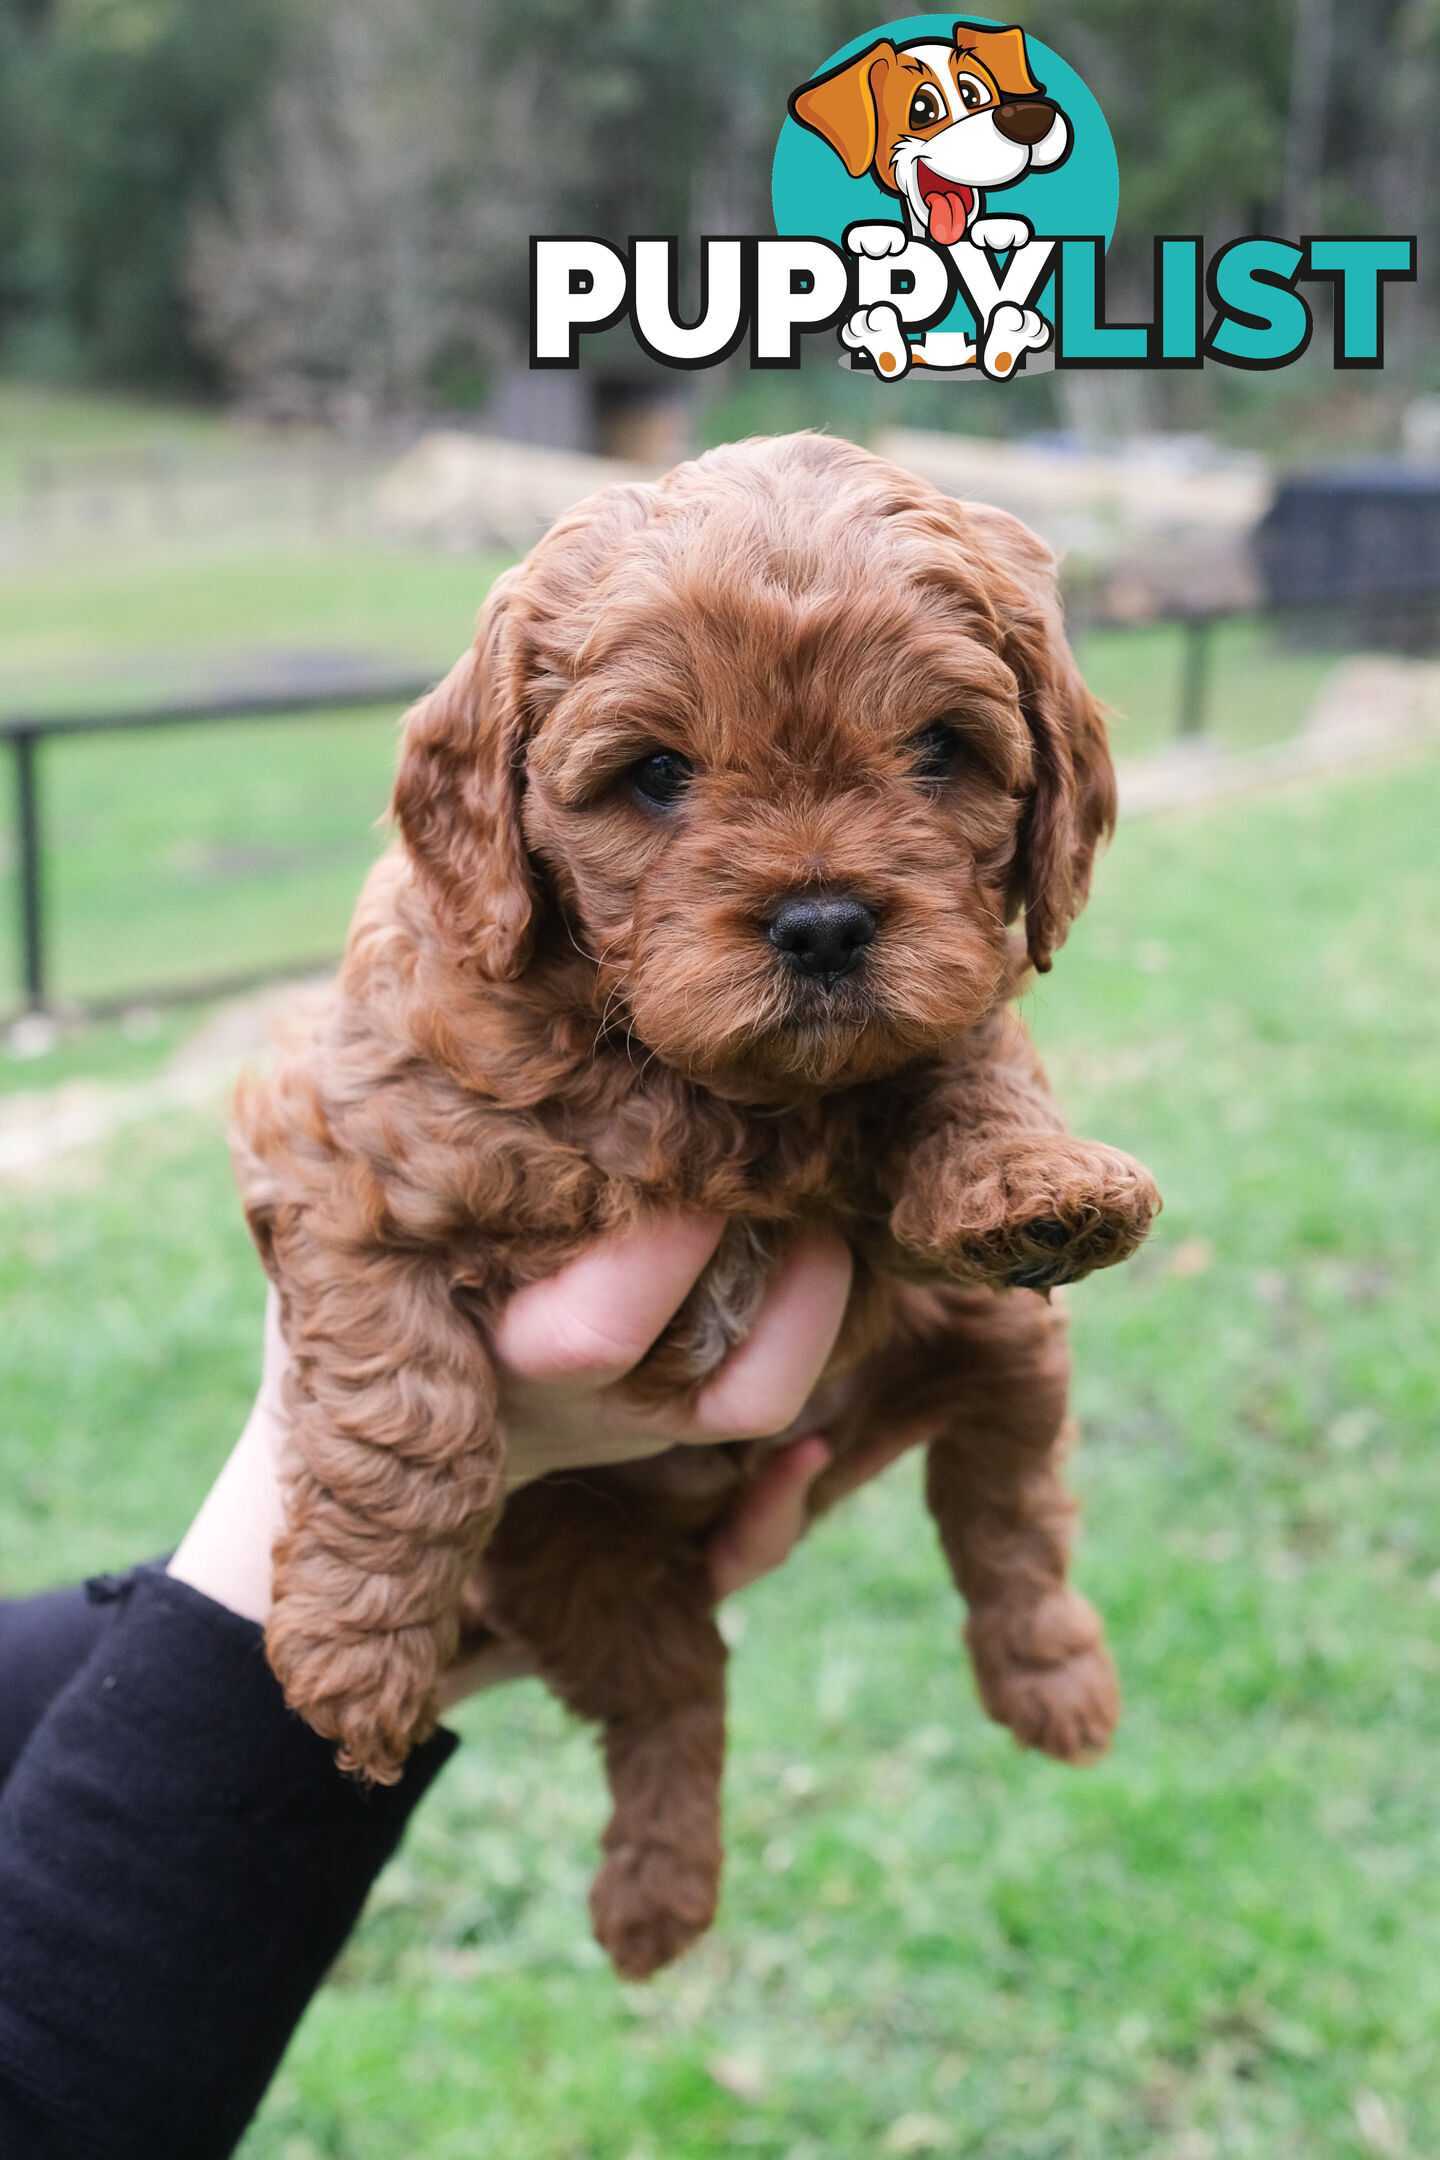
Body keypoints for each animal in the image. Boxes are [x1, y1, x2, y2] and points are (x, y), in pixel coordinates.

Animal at [236, 429, 1157, 1978]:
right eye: (657, 774)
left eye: (940, 751)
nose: (827, 923)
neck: (688, 1081)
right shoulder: (340, 1154)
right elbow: (404, 1412)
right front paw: (351, 1662)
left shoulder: (945, 1047)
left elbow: (966, 1061)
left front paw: (1039, 1183)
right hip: (573, 1546)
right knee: (675, 1691)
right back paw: (655, 1902)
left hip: (1000, 1351)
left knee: (1010, 1515)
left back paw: (1058, 1684)